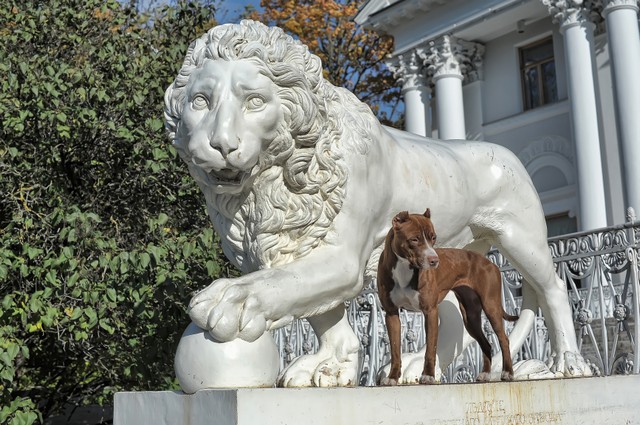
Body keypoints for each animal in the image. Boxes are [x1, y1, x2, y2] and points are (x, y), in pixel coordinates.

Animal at [378, 209, 516, 384]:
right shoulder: (391, 313)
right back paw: (485, 374)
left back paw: (508, 373)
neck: (404, 268)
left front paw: (428, 375)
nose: (434, 260)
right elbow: (395, 350)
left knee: (504, 339)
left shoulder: (430, 311)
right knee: (486, 344)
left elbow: (431, 348)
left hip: (491, 307)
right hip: (470, 318)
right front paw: (392, 377)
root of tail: (489, 262)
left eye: (433, 238)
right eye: (414, 239)